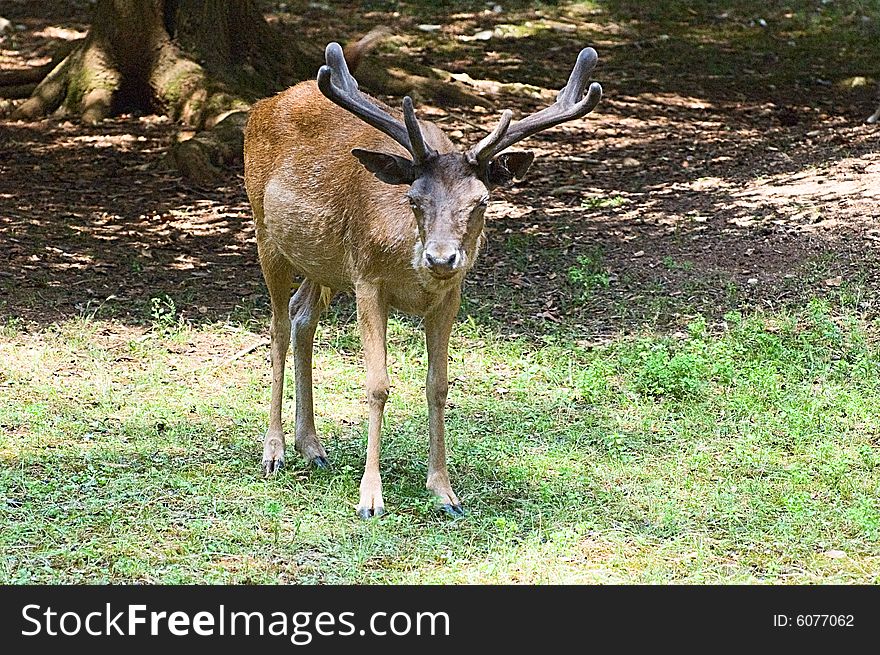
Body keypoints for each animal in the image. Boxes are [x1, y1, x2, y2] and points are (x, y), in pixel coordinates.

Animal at [244, 42, 600, 524]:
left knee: (302, 319)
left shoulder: (450, 296)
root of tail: (260, 106)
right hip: (266, 233)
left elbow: (439, 385)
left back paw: (312, 447)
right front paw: (370, 498)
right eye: (413, 198)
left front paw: (445, 492)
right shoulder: (368, 279)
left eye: (481, 201)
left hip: (323, 265)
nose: (441, 257)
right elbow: (377, 384)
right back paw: (275, 451)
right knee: (278, 328)